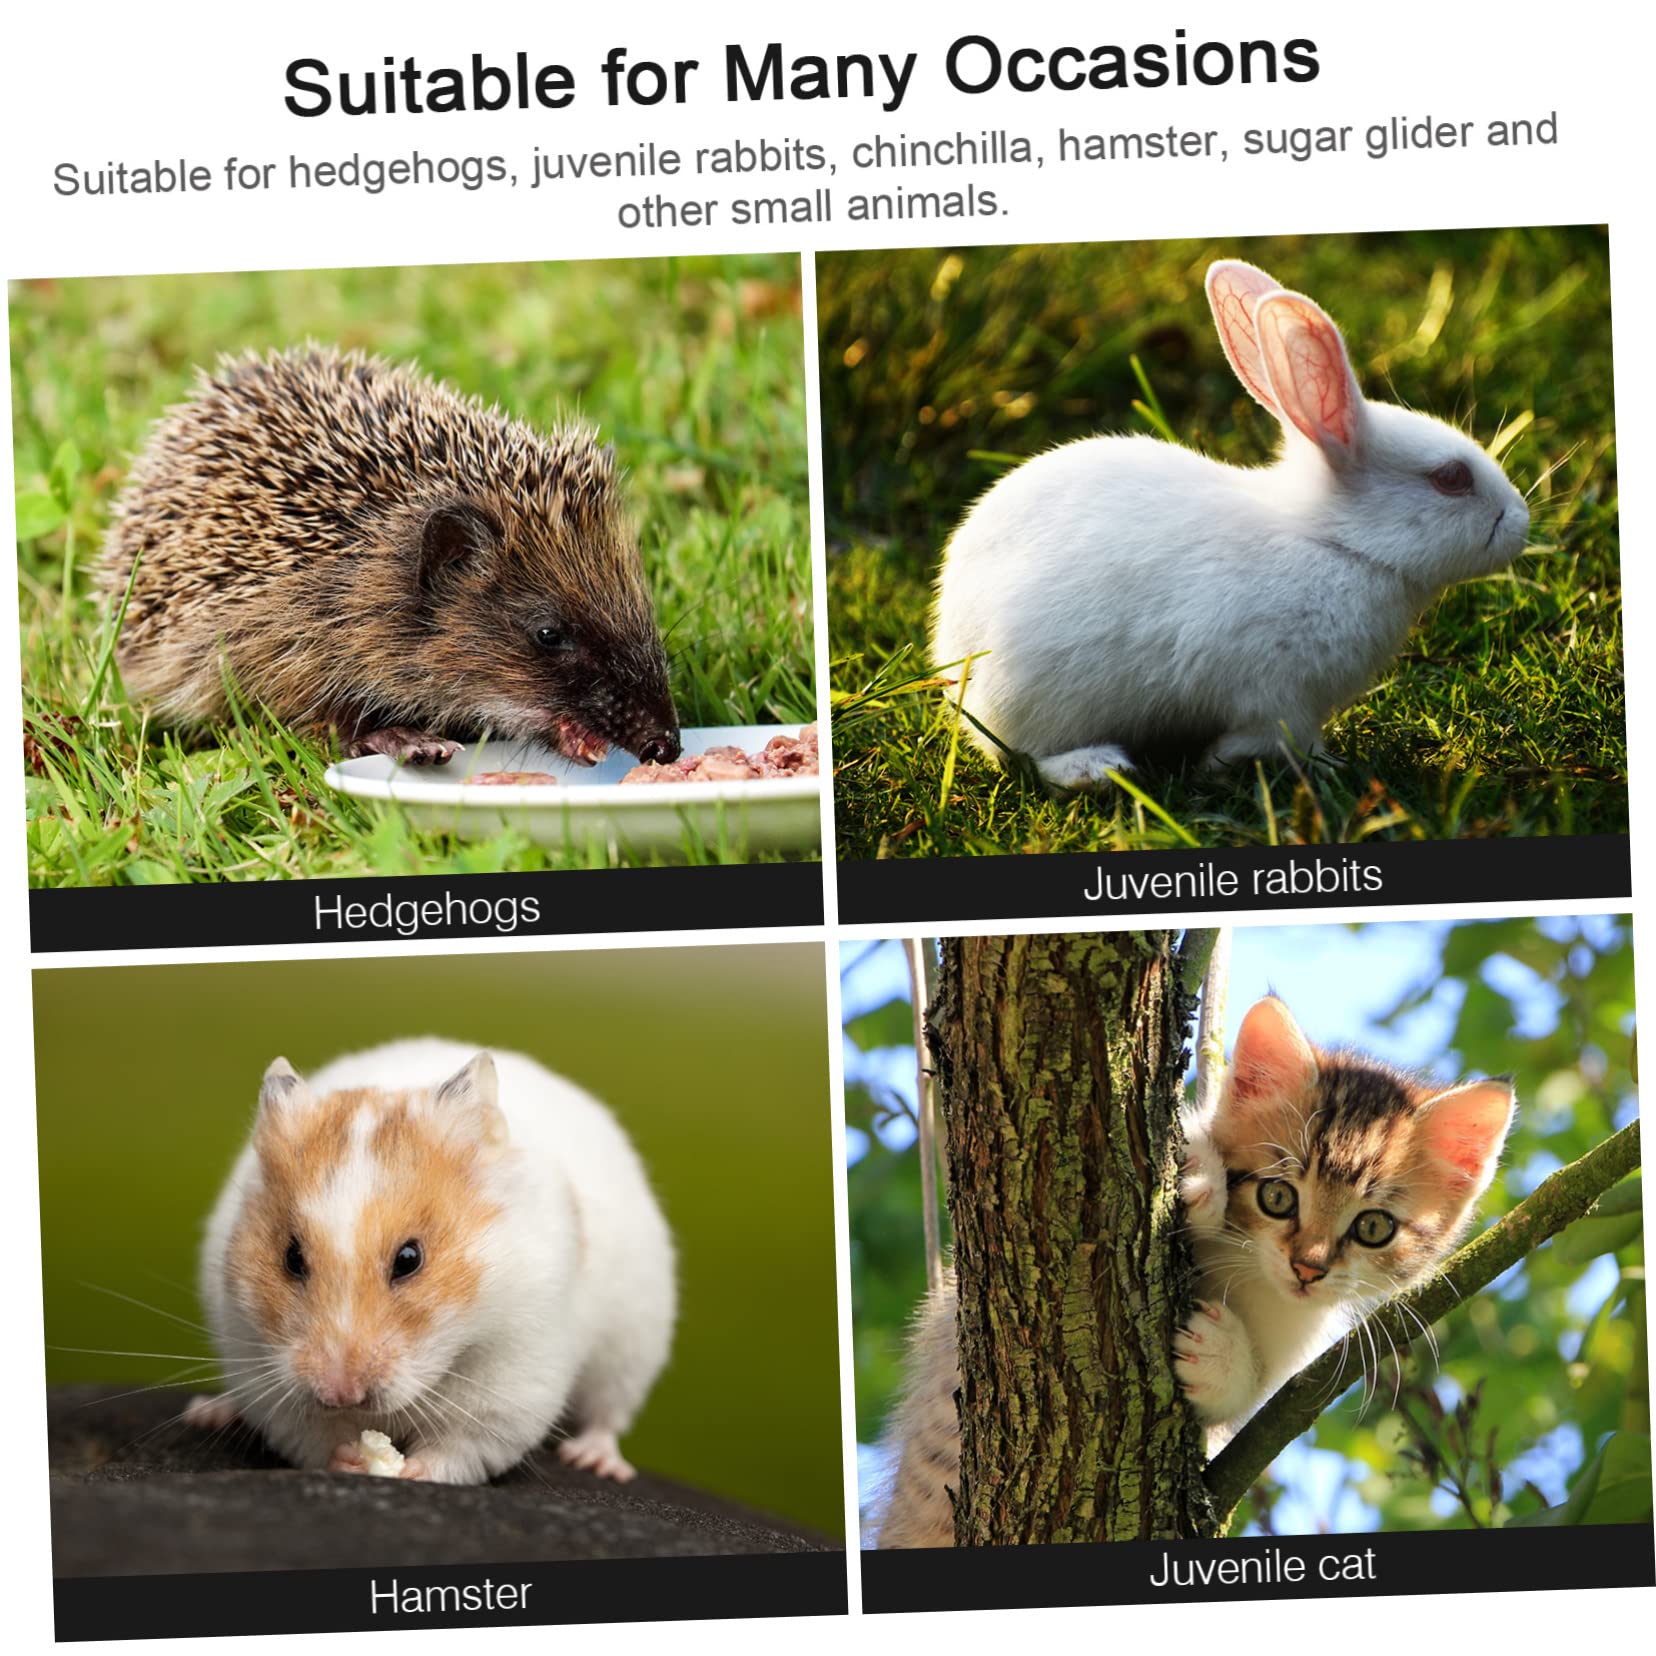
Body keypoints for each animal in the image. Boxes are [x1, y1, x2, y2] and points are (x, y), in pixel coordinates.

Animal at [183, 1038, 675, 1485]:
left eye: (409, 1259)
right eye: (291, 1257)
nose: (341, 1394)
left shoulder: (511, 1381)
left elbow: (460, 1447)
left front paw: (409, 1471)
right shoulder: (260, 1365)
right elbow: (311, 1437)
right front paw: (352, 1458)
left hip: (633, 1344)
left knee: (608, 1414)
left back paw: (596, 1461)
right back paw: (209, 1412)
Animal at [929, 259, 1532, 791]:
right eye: (1451, 478)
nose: (1521, 522)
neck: (1335, 542)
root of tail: (952, 646)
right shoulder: (1280, 695)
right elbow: (1281, 738)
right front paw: (1264, 765)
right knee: (1022, 754)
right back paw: (1097, 770)